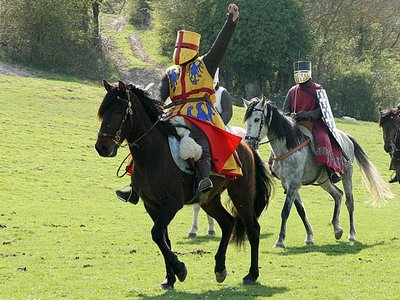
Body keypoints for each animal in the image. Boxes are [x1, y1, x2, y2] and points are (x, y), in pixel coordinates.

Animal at [95, 81, 274, 290]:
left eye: (117, 111)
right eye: (103, 111)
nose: (102, 147)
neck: (153, 153)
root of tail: (246, 146)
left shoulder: (172, 203)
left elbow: (156, 233)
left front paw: (180, 269)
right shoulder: (152, 205)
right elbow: (163, 237)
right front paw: (170, 278)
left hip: (241, 195)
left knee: (253, 230)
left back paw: (251, 274)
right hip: (209, 200)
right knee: (228, 223)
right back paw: (220, 268)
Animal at [242, 97, 392, 247]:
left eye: (257, 119)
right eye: (247, 119)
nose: (249, 143)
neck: (289, 145)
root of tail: (346, 138)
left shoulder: (294, 183)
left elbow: (285, 211)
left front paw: (280, 241)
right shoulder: (288, 184)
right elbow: (301, 210)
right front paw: (309, 236)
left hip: (347, 175)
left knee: (349, 202)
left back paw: (352, 234)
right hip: (323, 181)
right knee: (338, 195)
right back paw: (337, 229)